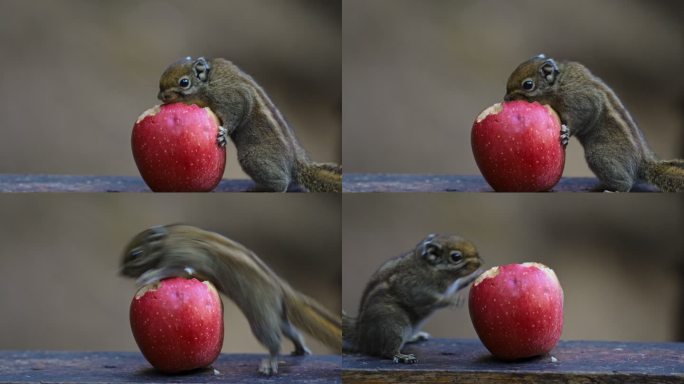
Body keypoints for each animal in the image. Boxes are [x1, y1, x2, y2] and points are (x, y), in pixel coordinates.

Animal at [121, 224, 342, 376]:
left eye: (135, 254)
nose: (120, 272)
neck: (167, 238)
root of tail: (282, 288)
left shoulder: (183, 255)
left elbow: (178, 268)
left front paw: (149, 275)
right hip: (275, 314)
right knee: (292, 331)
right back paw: (300, 347)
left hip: (260, 317)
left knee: (275, 341)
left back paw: (271, 361)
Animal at [156, 57, 340, 194]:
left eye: (184, 82)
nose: (160, 96)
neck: (209, 81)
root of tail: (296, 162)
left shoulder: (230, 97)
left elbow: (238, 111)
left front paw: (224, 133)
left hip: (251, 157)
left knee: (282, 183)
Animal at [342, 234, 480, 364]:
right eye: (456, 257)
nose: (479, 263)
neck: (430, 267)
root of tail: (361, 335)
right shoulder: (413, 285)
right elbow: (427, 298)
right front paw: (451, 300)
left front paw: (474, 276)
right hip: (393, 325)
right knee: (386, 351)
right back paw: (402, 356)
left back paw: (414, 337)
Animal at [502, 54, 684, 192]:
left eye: (528, 85)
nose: (506, 98)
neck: (559, 83)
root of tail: (642, 162)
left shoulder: (582, 103)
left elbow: (581, 118)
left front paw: (566, 133)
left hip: (599, 156)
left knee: (627, 183)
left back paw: (615, 189)